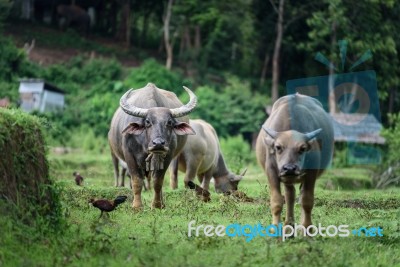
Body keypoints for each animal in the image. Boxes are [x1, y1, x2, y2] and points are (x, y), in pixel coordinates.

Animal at [256, 94, 334, 230]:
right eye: (278, 147)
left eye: (302, 148)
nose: (289, 168)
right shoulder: (271, 170)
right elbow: (276, 201)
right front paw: (274, 229)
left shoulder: (311, 173)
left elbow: (307, 201)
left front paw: (307, 228)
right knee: (290, 195)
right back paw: (289, 224)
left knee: (299, 195)